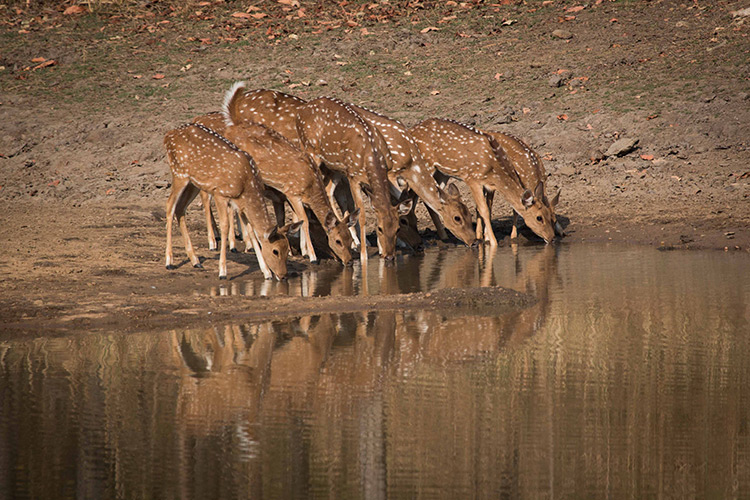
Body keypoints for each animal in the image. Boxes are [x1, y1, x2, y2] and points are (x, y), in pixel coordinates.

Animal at [164, 122, 300, 280]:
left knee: (180, 208)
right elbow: (225, 226)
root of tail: (167, 136)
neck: (246, 185)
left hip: (193, 183)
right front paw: (222, 272)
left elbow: (252, 232)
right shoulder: (220, 193)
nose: (283, 275)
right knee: (170, 205)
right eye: (275, 251)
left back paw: (196, 261)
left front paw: (266, 272)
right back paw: (169, 262)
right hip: (179, 173)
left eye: (287, 249)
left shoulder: (240, 204)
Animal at [192, 112, 359, 266]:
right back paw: (220, 244)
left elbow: (288, 220)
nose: (349, 261)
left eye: (349, 239)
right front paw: (311, 256)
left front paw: (298, 251)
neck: (311, 186)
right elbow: (304, 220)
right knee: (209, 196)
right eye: (337, 241)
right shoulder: (292, 192)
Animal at [296, 97, 412, 262]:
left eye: (398, 228)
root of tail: (300, 110)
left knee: (327, 190)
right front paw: (364, 255)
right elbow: (361, 214)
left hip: (335, 167)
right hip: (309, 150)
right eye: (379, 228)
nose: (389, 256)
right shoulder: (353, 176)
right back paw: (307, 251)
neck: (372, 155)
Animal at [410, 118, 559, 247]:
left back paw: (444, 236)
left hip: (441, 172)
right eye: (539, 218)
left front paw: (484, 238)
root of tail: (412, 129)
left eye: (551, 216)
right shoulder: (472, 178)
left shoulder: (488, 185)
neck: (494, 168)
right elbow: (484, 210)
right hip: (425, 165)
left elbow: (485, 207)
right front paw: (493, 242)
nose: (552, 238)